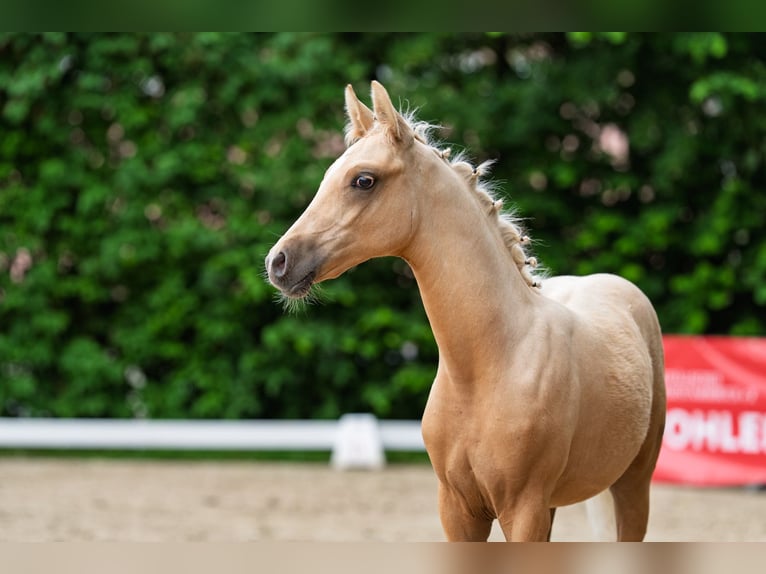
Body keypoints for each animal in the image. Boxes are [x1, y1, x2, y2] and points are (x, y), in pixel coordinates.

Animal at [265, 81, 666, 541]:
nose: (278, 262)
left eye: (363, 180)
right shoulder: (458, 510)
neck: (488, 365)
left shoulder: (522, 509)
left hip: (633, 486)